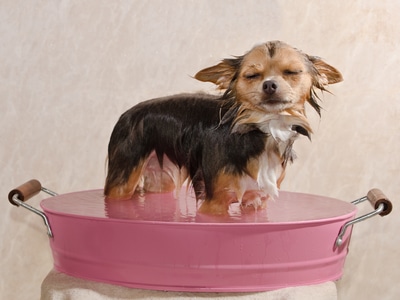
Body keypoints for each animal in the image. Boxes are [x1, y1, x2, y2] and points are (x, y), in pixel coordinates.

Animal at [104, 41, 342, 214]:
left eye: (292, 72)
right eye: (252, 75)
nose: (269, 85)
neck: (261, 127)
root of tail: (126, 114)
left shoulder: (255, 201)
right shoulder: (215, 204)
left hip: (161, 176)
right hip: (122, 180)